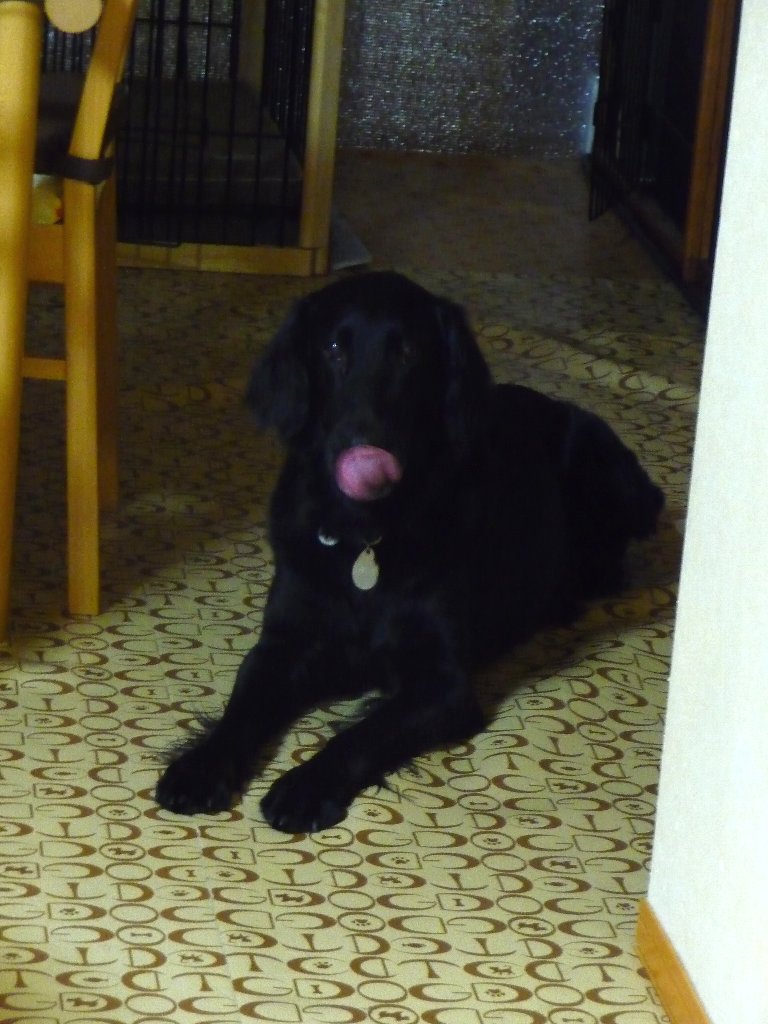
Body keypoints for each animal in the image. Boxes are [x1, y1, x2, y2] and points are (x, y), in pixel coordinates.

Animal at [155, 271, 663, 832]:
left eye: (408, 353)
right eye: (334, 348)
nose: (363, 443)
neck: (365, 536)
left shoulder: (443, 684)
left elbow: (361, 733)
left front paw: (304, 786)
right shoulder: (284, 643)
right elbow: (242, 708)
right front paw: (199, 767)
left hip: (610, 469)